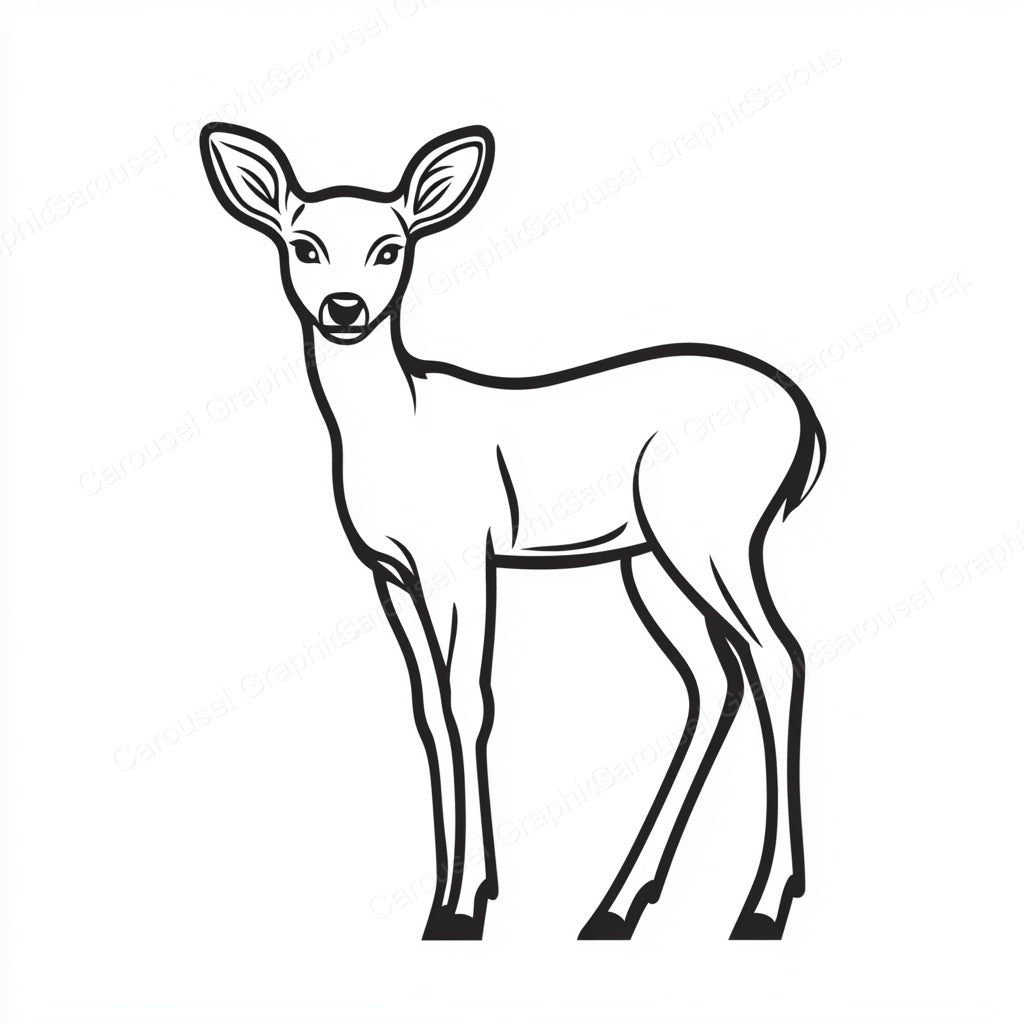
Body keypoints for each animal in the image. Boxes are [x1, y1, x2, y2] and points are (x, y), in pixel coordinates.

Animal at [199, 121, 826, 942]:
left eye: (390, 248)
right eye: (303, 245)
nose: (344, 307)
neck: (397, 426)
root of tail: (805, 420)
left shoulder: (465, 556)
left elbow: (472, 702)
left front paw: (464, 904)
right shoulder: (391, 574)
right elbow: (429, 712)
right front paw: (453, 894)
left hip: (714, 532)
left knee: (778, 657)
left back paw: (763, 903)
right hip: (648, 558)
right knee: (714, 678)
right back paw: (617, 905)